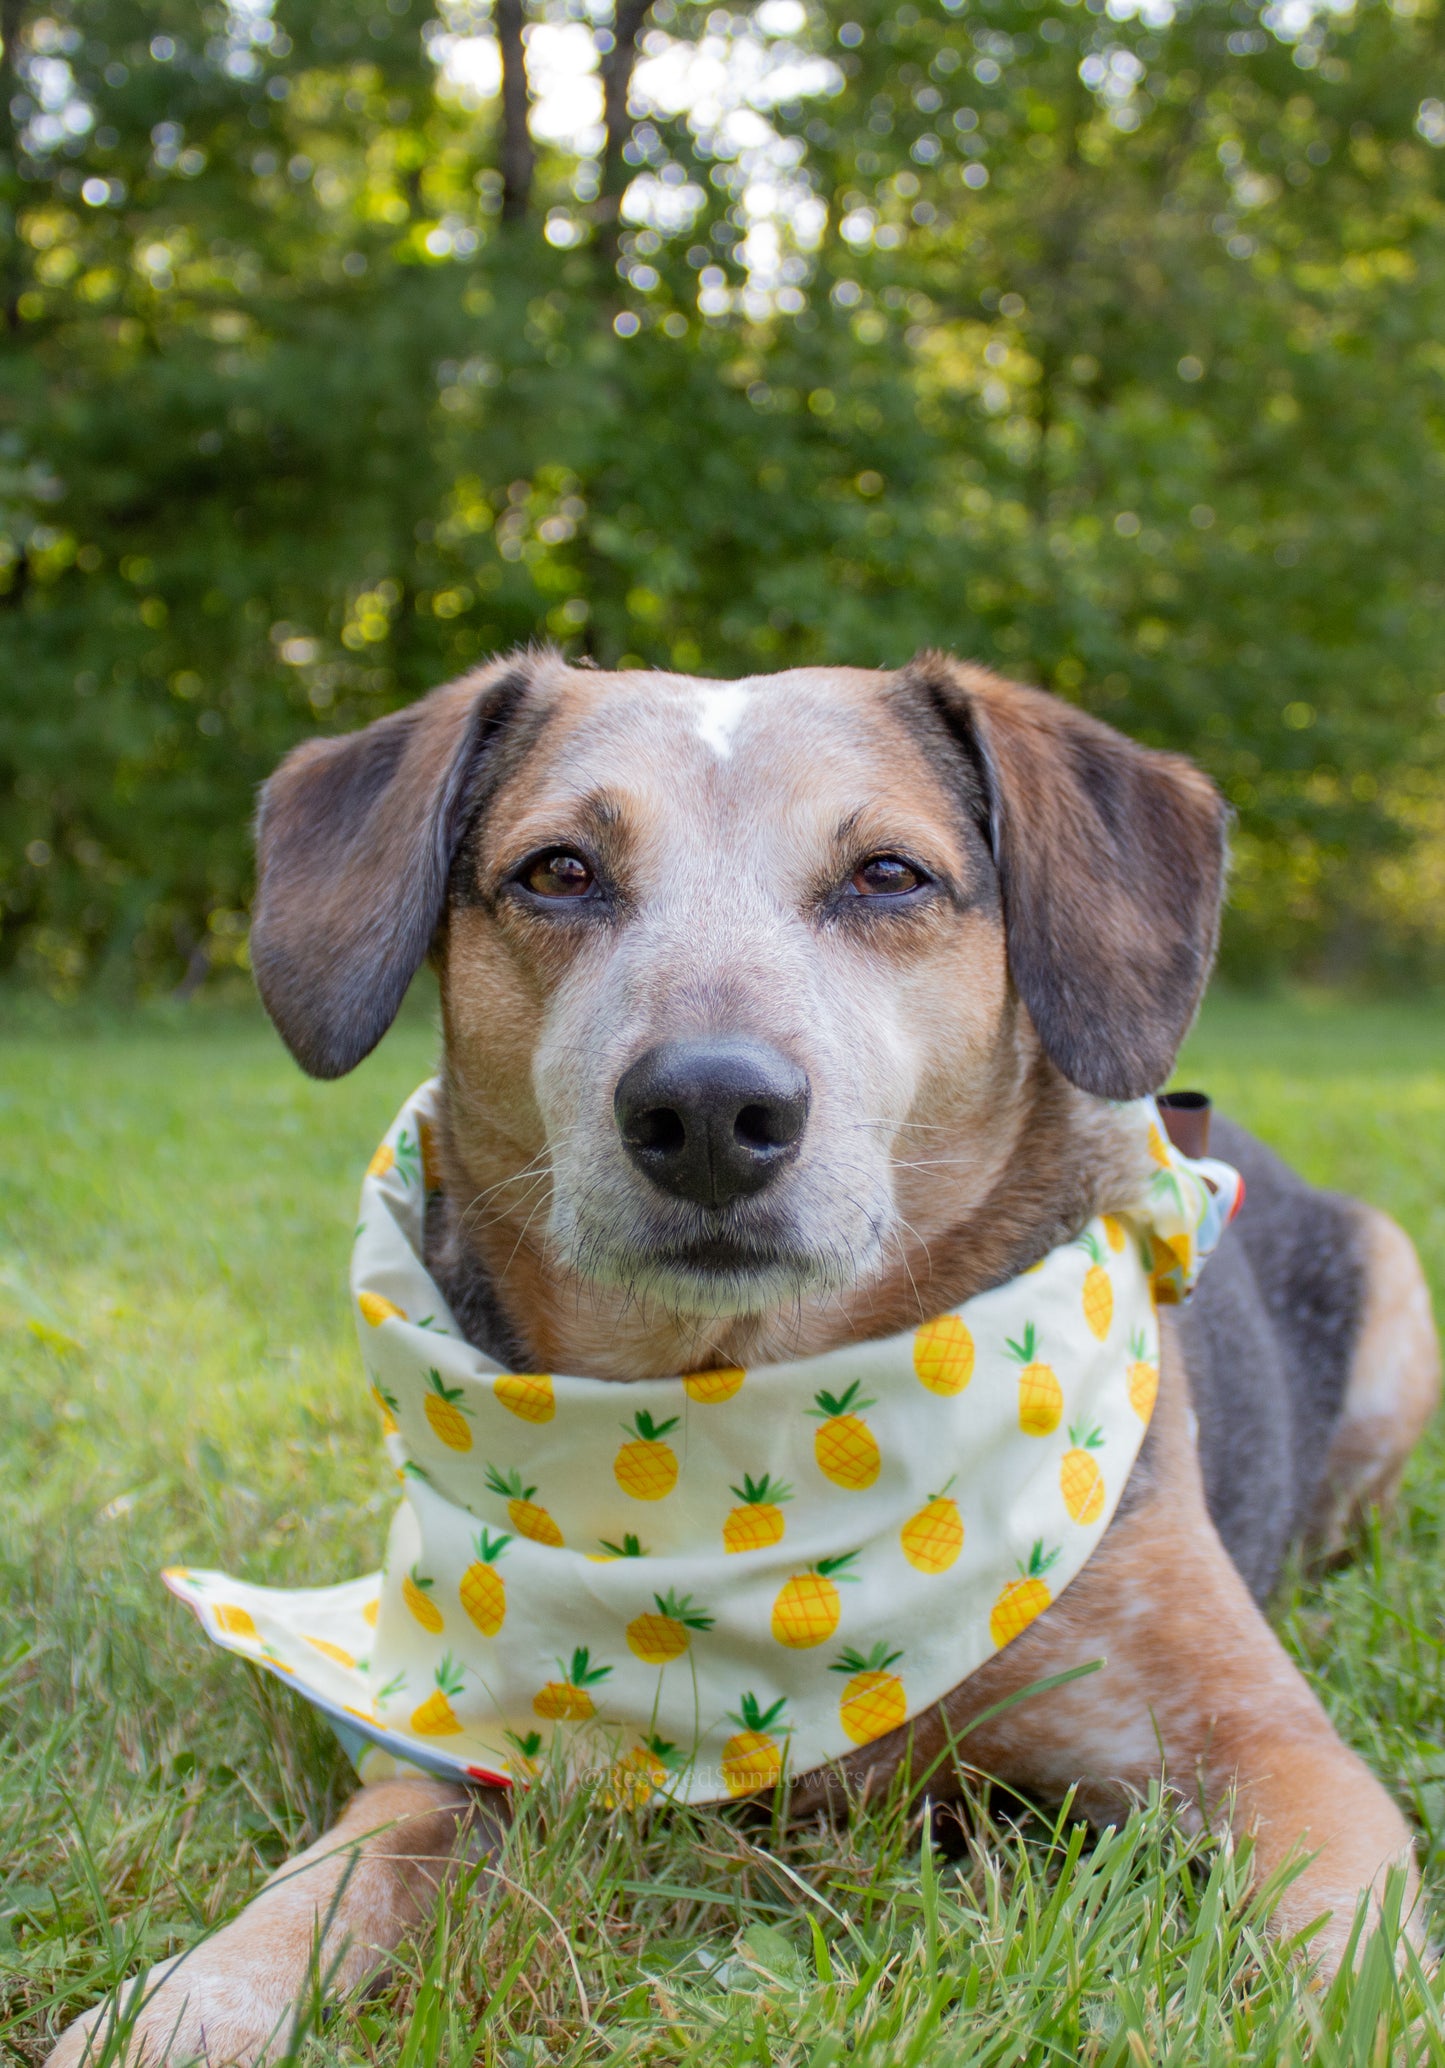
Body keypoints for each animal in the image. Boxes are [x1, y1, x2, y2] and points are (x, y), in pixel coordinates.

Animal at [50, 653, 1438, 2059]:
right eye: (558, 870)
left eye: (887, 874)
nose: (710, 1109)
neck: (745, 1423)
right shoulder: (448, 1748)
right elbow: (321, 1884)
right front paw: (181, 2003)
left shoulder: (1270, 1747)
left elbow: (1349, 1964)